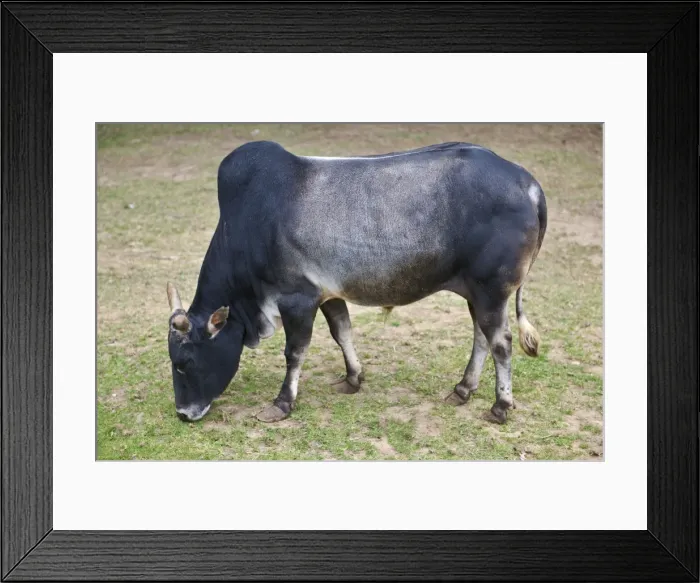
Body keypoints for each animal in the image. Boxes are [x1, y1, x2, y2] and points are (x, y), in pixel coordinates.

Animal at [166, 140, 547, 425]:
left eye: (184, 363)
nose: (183, 413)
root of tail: (527, 182)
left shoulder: (296, 298)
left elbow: (295, 352)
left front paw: (282, 403)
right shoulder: (328, 294)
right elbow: (342, 332)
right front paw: (353, 378)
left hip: (491, 290)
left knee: (501, 342)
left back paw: (500, 406)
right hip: (477, 293)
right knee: (481, 338)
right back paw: (463, 389)